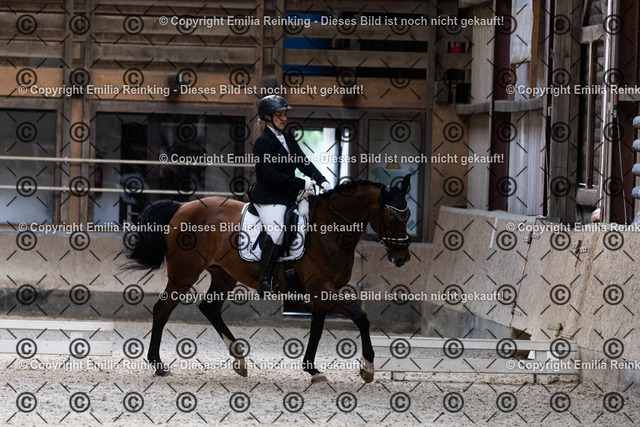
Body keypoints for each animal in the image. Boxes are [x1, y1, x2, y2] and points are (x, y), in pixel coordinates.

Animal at [124, 175, 412, 383]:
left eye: (407, 215)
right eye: (392, 216)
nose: (402, 258)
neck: (330, 230)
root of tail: (183, 206)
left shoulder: (321, 293)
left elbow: (318, 328)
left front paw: (312, 369)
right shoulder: (323, 289)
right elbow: (361, 318)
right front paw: (368, 367)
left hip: (223, 275)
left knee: (209, 308)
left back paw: (239, 359)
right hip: (185, 273)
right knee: (162, 309)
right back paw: (158, 364)